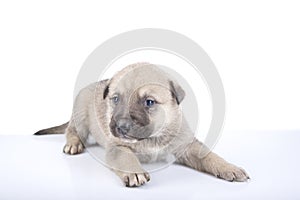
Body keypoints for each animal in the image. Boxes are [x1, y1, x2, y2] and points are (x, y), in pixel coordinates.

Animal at [36, 63, 250, 188]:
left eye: (149, 102)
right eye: (116, 99)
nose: (121, 126)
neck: (153, 137)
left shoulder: (187, 145)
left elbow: (209, 155)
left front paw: (229, 167)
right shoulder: (118, 146)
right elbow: (126, 158)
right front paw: (135, 172)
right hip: (80, 114)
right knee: (71, 130)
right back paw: (74, 144)